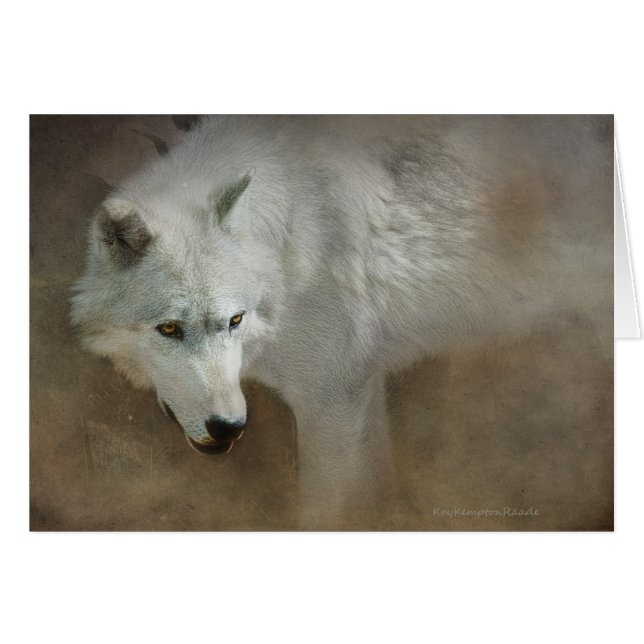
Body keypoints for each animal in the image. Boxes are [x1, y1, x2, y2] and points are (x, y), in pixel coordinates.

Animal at [70, 115, 612, 526]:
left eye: (234, 320)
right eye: (169, 329)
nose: (228, 428)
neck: (288, 248)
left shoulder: (329, 402)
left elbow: (327, 512)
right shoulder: (361, 390)